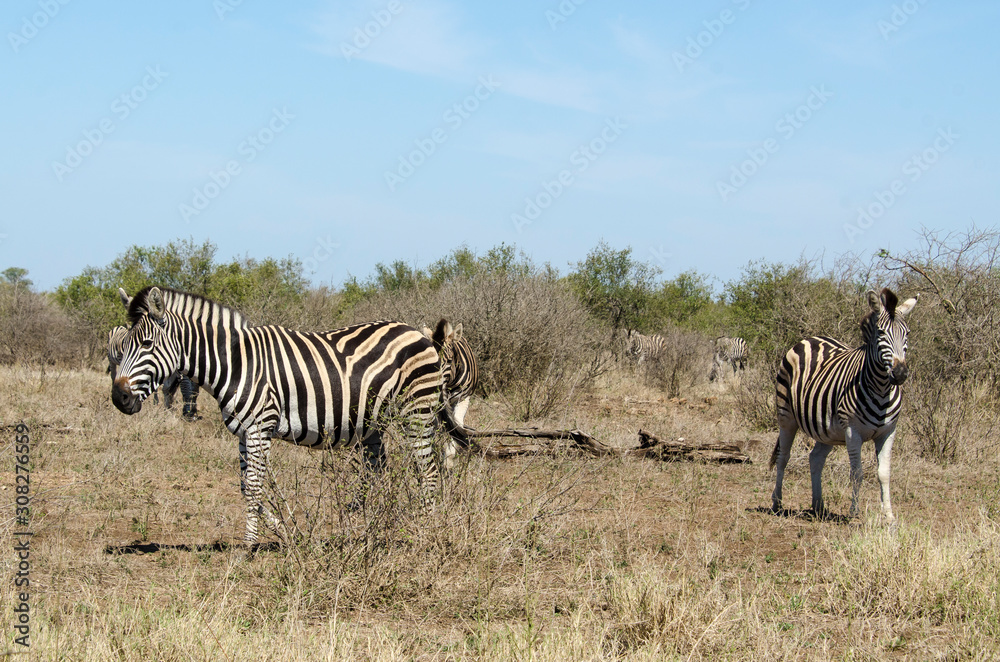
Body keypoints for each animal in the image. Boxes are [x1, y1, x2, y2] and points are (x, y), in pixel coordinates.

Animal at [110, 286, 465, 544]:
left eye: (146, 343)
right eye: (122, 346)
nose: (119, 398)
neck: (236, 363)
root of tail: (420, 335)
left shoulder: (259, 427)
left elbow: (254, 486)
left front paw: (249, 546)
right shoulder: (244, 431)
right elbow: (246, 486)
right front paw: (287, 531)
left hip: (416, 413)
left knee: (428, 473)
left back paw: (424, 533)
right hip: (373, 424)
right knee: (377, 473)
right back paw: (363, 530)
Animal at [422, 319, 479, 468]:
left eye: (448, 360)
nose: (433, 387)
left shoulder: (463, 399)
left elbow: (455, 424)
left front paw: (449, 459)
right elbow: (442, 427)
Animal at [770, 288, 918, 521]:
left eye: (908, 334)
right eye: (881, 334)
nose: (900, 374)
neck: (882, 389)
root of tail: (810, 338)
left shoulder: (888, 431)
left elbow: (884, 473)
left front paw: (888, 514)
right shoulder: (852, 431)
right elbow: (857, 473)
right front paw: (855, 513)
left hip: (826, 428)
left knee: (815, 458)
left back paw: (818, 505)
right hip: (786, 417)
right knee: (783, 457)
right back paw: (777, 502)